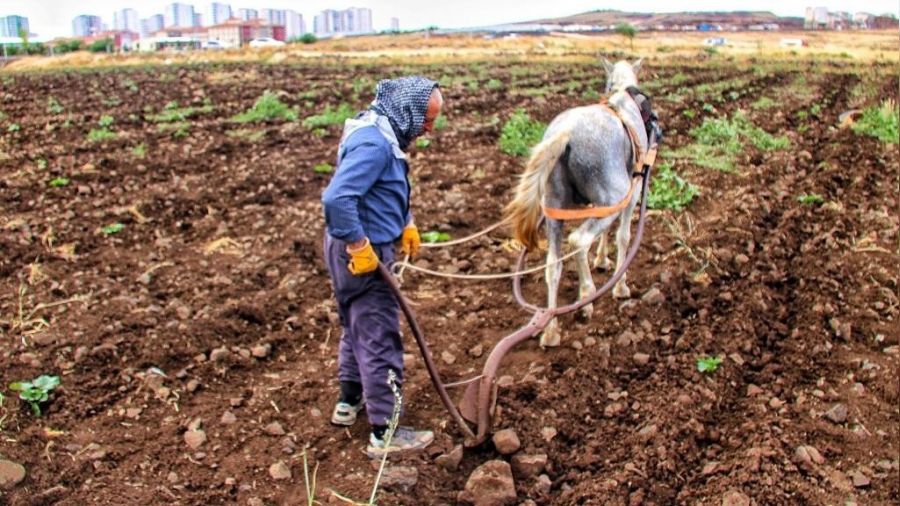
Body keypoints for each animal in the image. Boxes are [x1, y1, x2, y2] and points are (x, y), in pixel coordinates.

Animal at [506, 57, 648, 346]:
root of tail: (566, 132)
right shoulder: (632, 192)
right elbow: (624, 237)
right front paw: (620, 286)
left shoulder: (600, 204)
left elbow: (606, 235)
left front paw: (602, 260)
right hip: (616, 192)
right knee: (579, 241)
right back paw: (586, 297)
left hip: (555, 208)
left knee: (553, 264)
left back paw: (550, 328)